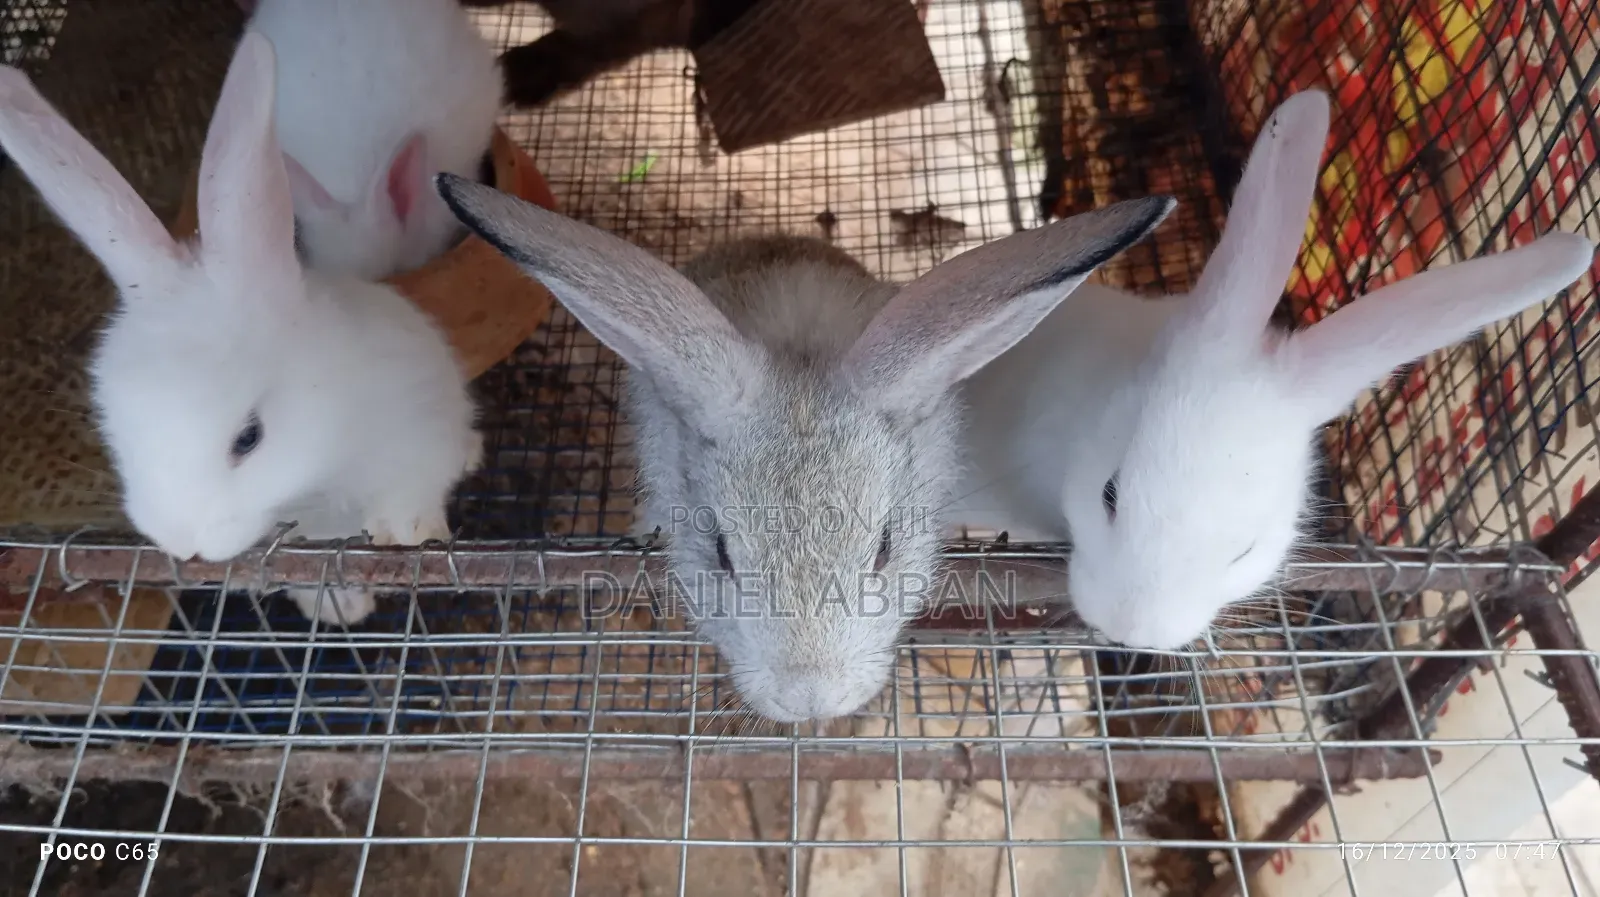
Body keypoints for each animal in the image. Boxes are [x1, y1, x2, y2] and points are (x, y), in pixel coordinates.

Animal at [0, 33, 481, 625]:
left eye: (249, 438)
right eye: (115, 432)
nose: (182, 542)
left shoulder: (419, 425)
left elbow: (413, 489)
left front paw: (407, 532)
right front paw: (340, 607)